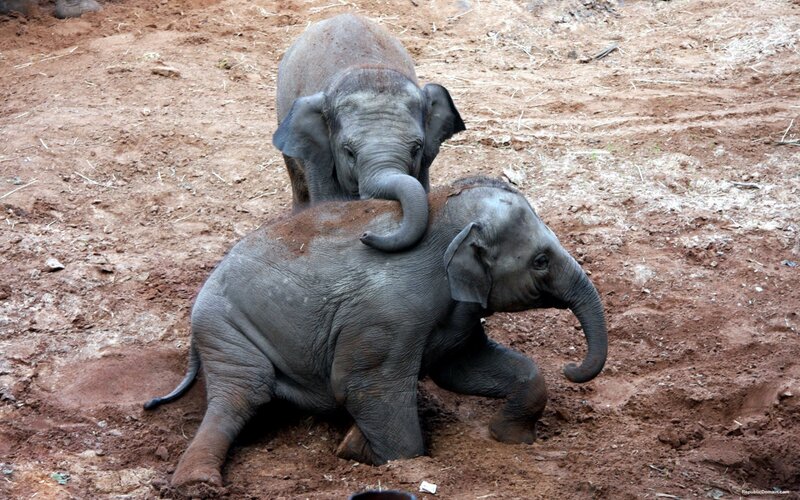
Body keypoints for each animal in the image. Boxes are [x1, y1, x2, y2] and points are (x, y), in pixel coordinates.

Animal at [144, 176, 608, 489]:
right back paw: (197, 484)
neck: (441, 213)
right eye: (541, 262)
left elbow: (461, 368)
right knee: (242, 393)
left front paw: (508, 438)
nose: (571, 367)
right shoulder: (389, 316)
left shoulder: (454, 313)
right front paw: (358, 451)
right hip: (226, 329)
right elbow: (366, 387)